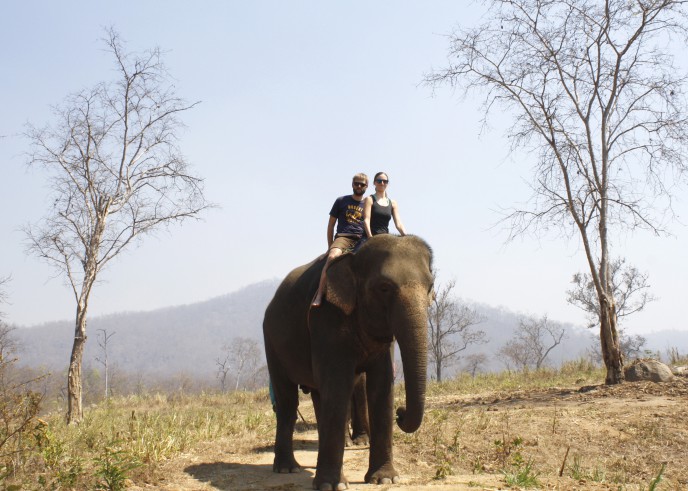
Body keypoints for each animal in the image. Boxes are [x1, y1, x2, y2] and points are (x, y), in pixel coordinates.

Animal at [263, 234, 434, 490]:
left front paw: (384, 479)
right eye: (384, 288)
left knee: (317, 395)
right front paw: (331, 485)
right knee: (287, 401)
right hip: (271, 342)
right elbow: (338, 386)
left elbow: (381, 386)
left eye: (431, 287)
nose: (401, 413)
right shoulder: (326, 317)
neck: (354, 258)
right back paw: (287, 468)